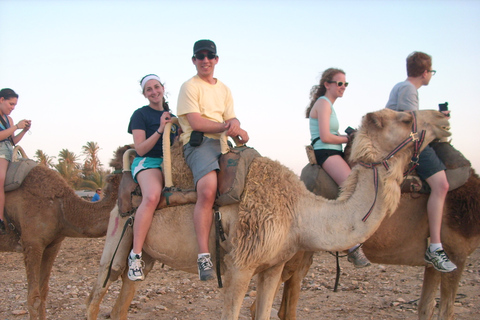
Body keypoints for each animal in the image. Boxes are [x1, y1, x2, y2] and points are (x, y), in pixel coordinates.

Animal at [85, 110, 450, 320]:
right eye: (405, 118)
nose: (444, 118)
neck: (300, 214)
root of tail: (124, 171)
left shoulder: (273, 266)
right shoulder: (239, 266)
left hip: (146, 255)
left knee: (122, 301)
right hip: (118, 235)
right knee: (96, 296)